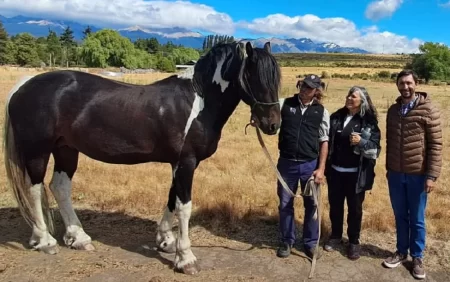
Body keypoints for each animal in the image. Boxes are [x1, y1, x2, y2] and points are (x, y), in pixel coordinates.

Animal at [2, 40, 282, 274]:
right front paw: (186, 258)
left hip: (66, 149)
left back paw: (78, 238)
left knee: (59, 187)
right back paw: (45, 240)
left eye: (275, 78)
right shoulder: (186, 162)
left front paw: (165, 240)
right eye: (251, 76)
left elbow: (171, 199)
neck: (198, 102)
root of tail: (24, 85)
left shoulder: (177, 163)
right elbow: (184, 207)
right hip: (38, 151)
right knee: (34, 189)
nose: (272, 124)